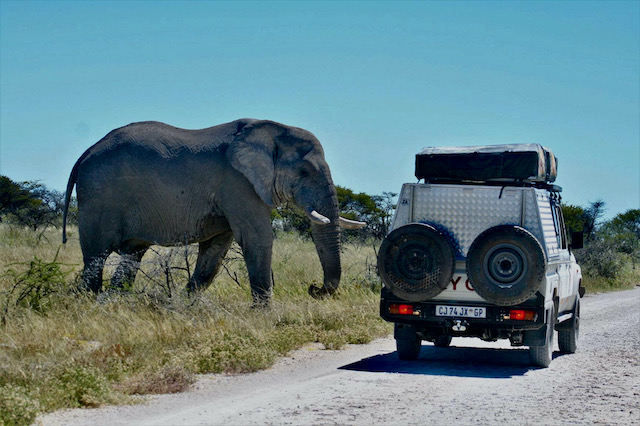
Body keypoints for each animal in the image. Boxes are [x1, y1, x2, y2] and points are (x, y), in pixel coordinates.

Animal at [65, 120, 368, 304]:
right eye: (304, 172)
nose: (314, 288)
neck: (273, 130)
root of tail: (85, 153)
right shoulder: (237, 182)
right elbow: (256, 238)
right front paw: (264, 315)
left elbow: (216, 249)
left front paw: (183, 305)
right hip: (99, 195)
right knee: (96, 255)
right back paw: (91, 303)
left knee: (132, 257)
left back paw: (117, 301)